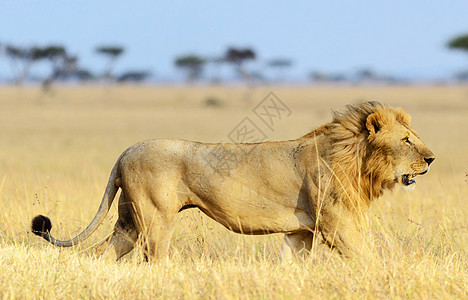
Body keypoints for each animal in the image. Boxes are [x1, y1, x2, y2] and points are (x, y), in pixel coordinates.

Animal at [31, 101, 436, 260]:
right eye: (406, 140)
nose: (431, 159)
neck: (357, 159)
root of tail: (124, 152)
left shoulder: (301, 230)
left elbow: (292, 262)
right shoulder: (337, 222)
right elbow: (364, 255)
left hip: (130, 220)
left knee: (101, 253)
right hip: (155, 219)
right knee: (153, 258)